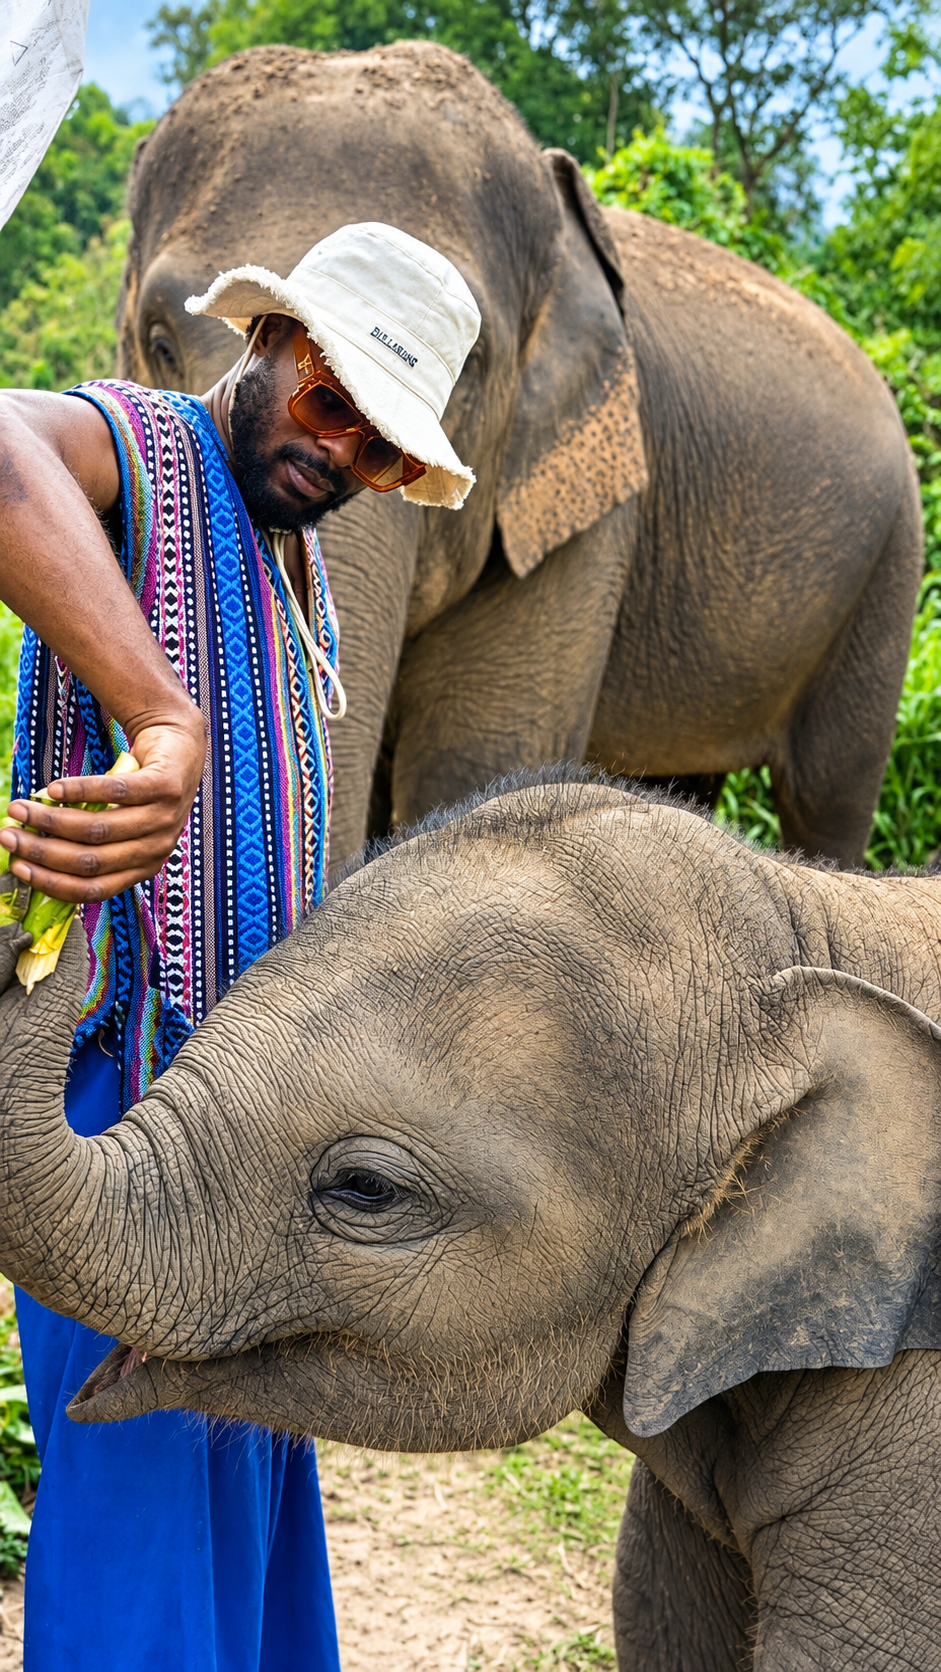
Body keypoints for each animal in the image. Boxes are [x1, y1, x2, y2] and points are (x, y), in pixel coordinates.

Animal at [115, 40, 923, 871]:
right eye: (158, 339)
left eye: (464, 372)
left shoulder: (585, 510)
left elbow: (471, 766)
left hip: (889, 563)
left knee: (827, 793)